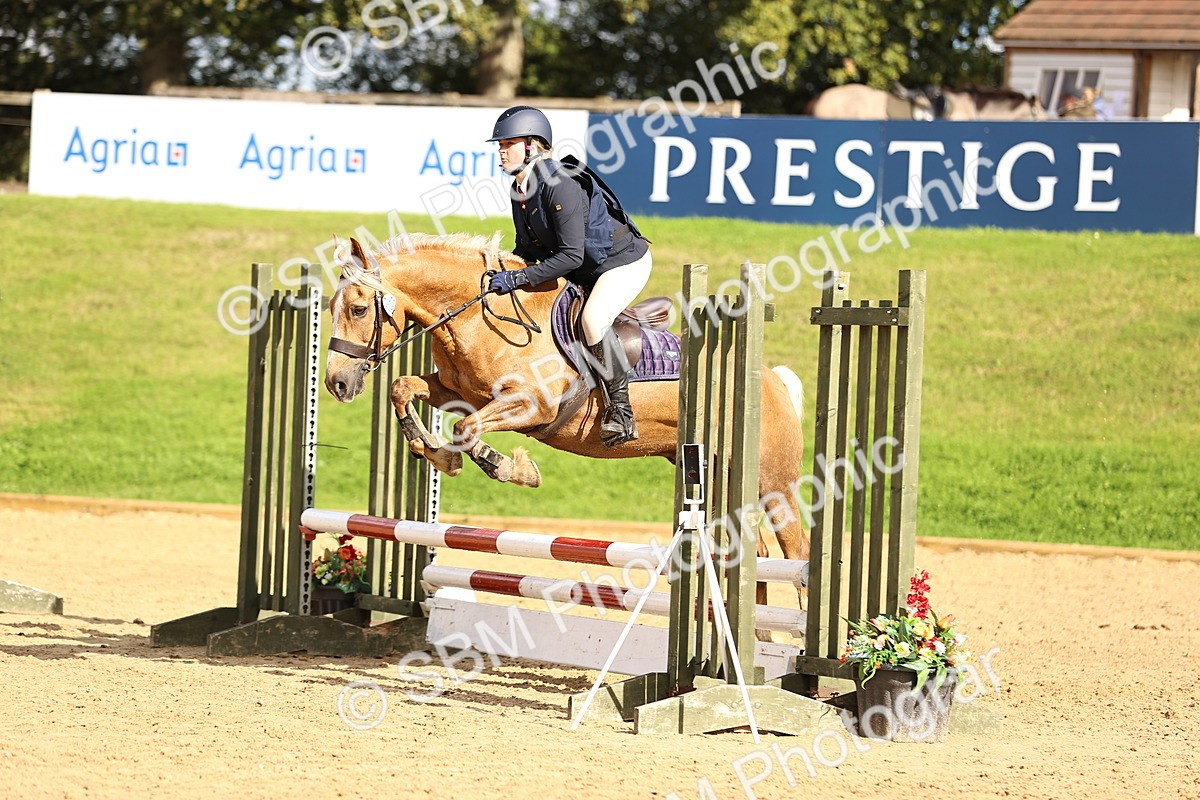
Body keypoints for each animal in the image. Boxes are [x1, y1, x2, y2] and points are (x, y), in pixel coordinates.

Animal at [322, 232, 810, 618]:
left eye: (359, 309)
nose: (336, 383)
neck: (479, 318)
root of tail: (770, 379)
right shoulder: (458, 391)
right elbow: (403, 389)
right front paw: (435, 452)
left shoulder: (529, 405)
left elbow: (467, 431)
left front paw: (509, 468)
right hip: (714, 474)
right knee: (755, 553)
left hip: (772, 484)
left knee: (796, 551)